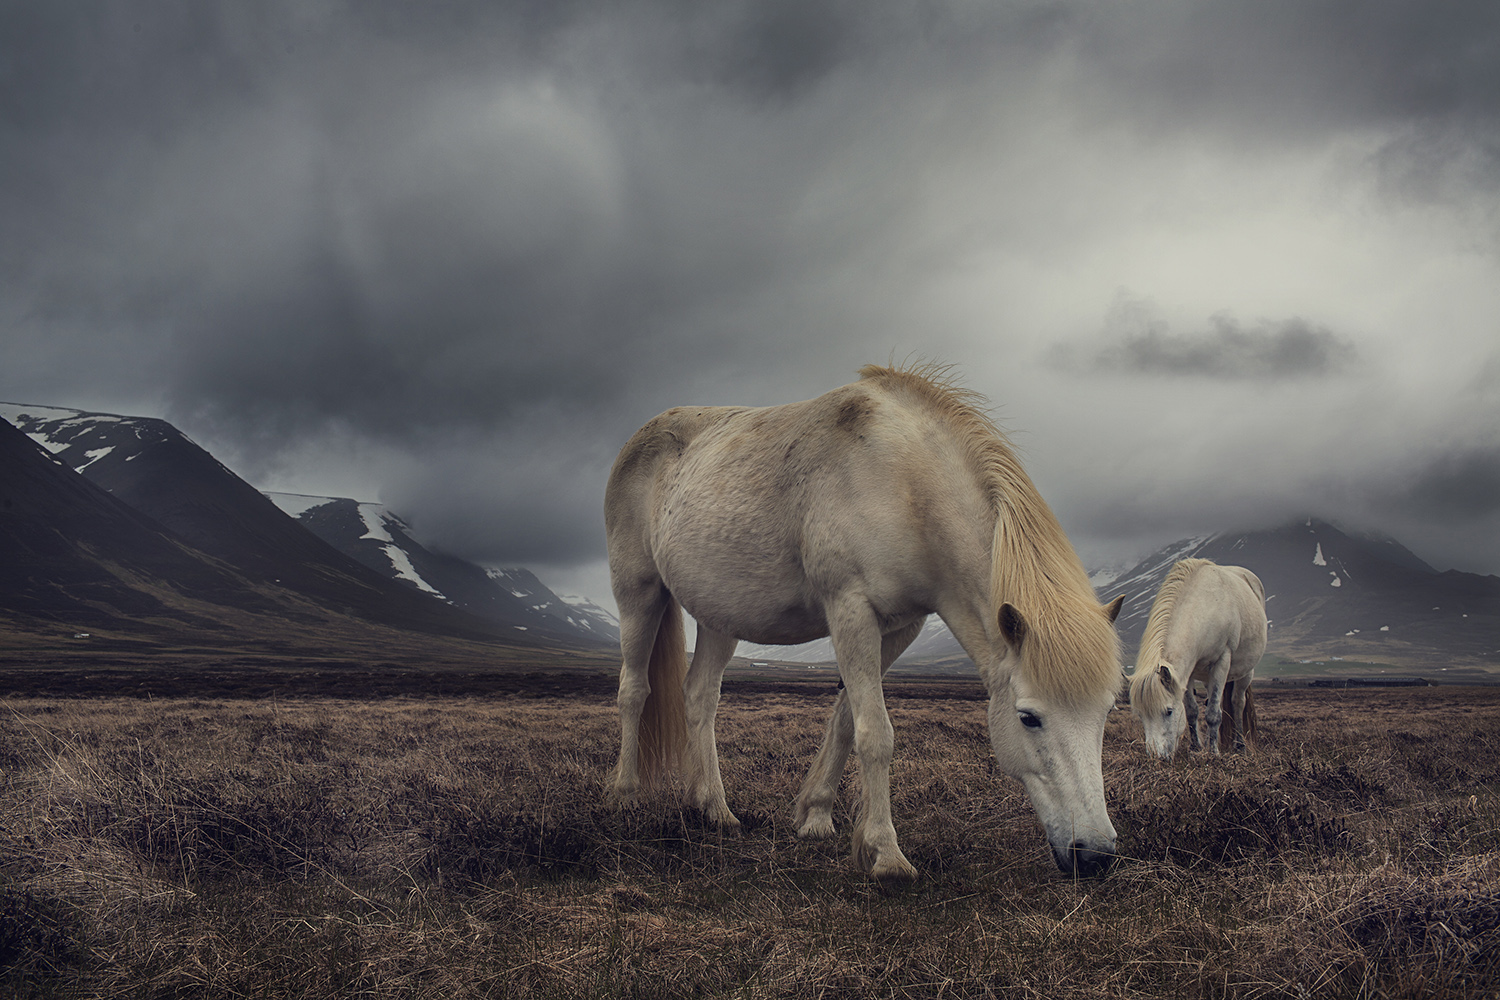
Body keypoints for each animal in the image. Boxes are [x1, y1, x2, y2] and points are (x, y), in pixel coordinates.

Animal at [603, 361, 1122, 881]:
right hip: (638, 593)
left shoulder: (900, 626)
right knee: (634, 690)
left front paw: (814, 815)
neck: (904, 483)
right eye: (1028, 717)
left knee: (700, 696)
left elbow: (846, 722)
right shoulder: (850, 609)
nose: (1095, 855)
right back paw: (625, 796)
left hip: (720, 618)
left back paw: (714, 807)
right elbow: (876, 733)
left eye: (1106, 712)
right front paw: (886, 854)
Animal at [1128, 554, 1266, 758]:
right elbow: (1193, 710)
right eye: (1140, 715)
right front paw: (1196, 747)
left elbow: (1213, 713)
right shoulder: (1186, 673)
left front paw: (1214, 753)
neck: (1205, 608)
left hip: (1246, 672)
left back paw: (1239, 745)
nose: (1156, 757)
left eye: (1169, 711)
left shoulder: (1222, 661)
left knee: (1238, 702)